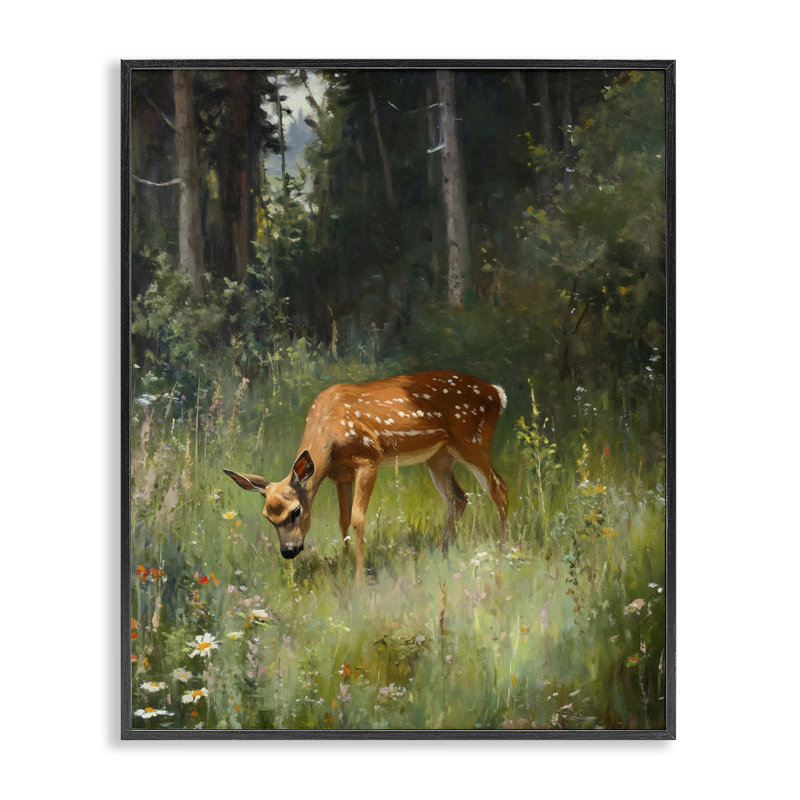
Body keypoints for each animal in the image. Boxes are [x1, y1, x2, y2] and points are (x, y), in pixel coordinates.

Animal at [223, 370, 509, 583]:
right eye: (267, 517)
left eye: (296, 510)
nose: (289, 551)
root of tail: (498, 393)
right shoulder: (341, 475)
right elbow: (343, 519)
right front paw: (344, 566)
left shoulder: (369, 459)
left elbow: (359, 519)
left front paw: (359, 580)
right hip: (439, 455)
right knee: (458, 498)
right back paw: (439, 555)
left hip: (472, 441)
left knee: (500, 488)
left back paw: (503, 552)